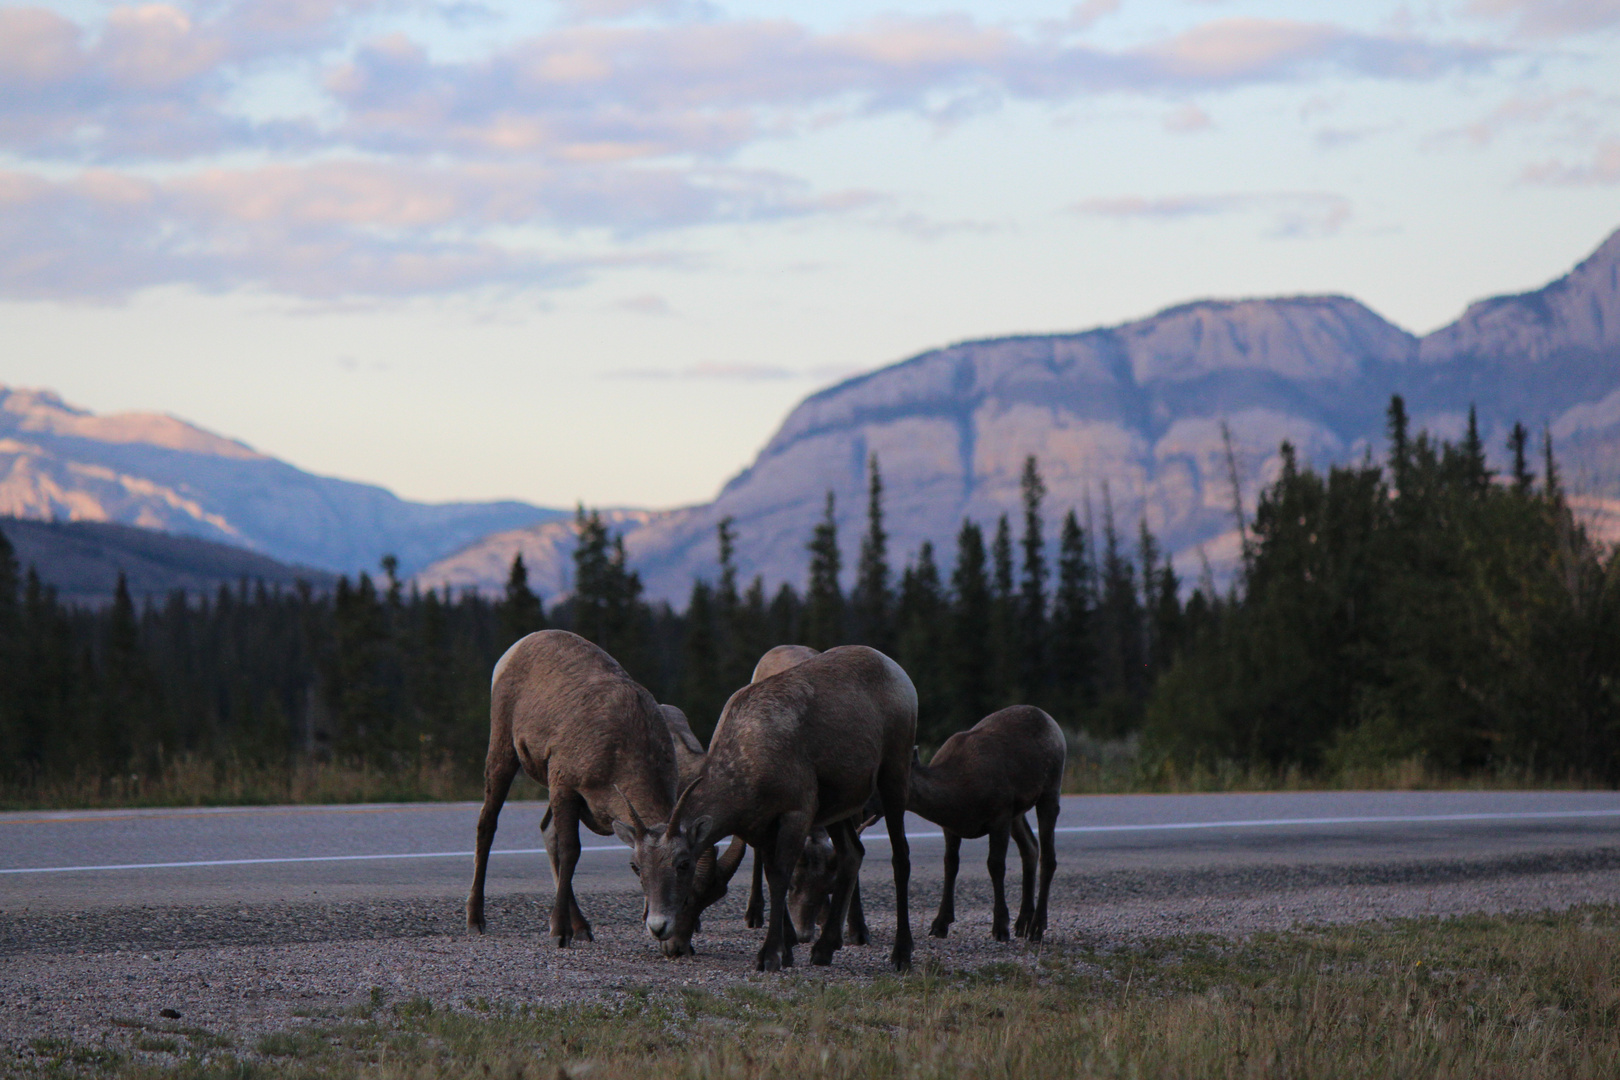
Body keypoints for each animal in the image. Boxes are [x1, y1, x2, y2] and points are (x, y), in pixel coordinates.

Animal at [609, 647, 913, 977]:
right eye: (635, 866)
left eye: (683, 864)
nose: (660, 929)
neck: (748, 758)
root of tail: (892, 667)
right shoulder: (763, 828)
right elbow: (770, 876)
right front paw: (787, 952)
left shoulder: (795, 815)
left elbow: (780, 877)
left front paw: (769, 957)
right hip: (840, 811)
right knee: (852, 854)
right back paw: (823, 950)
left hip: (893, 777)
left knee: (900, 858)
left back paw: (901, 956)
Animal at [913, 705, 1062, 939]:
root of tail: (1049, 719)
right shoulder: (951, 828)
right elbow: (950, 864)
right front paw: (940, 924)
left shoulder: (999, 818)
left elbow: (995, 865)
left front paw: (1000, 927)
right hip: (1017, 814)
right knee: (1031, 847)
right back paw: (1023, 923)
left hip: (1049, 794)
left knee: (1048, 857)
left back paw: (1037, 927)